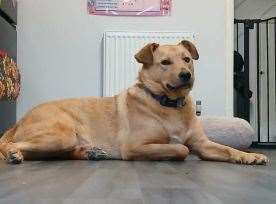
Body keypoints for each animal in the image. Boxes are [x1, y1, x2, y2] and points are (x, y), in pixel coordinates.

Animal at [0, 41, 268, 164]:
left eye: (187, 59)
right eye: (165, 62)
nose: (186, 75)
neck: (169, 105)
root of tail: (20, 120)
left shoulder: (203, 144)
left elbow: (227, 149)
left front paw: (250, 156)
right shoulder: (135, 147)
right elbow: (180, 149)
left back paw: (89, 152)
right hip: (60, 134)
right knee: (11, 145)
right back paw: (12, 152)